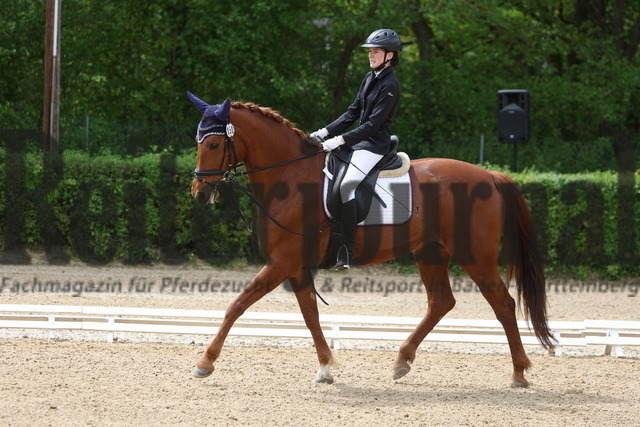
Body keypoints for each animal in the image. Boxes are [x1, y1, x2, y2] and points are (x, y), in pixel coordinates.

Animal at [186, 93, 556, 388]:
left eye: (214, 144)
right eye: (198, 141)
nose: (199, 193)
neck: (290, 178)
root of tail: (490, 176)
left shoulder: (281, 262)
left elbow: (237, 304)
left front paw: (205, 362)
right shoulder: (296, 266)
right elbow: (310, 314)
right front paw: (326, 368)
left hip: (474, 255)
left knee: (503, 304)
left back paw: (519, 373)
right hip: (431, 252)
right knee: (441, 302)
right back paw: (402, 361)